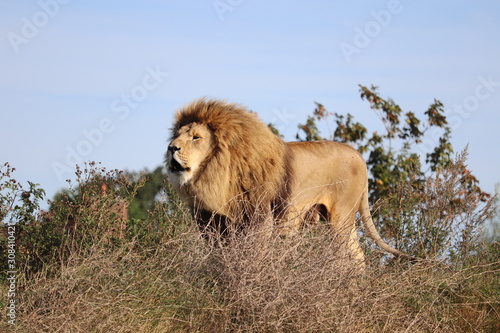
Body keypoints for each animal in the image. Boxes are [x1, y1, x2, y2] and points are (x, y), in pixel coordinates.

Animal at [166, 98, 408, 262]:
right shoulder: (212, 225)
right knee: (358, 256)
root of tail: (358, 155)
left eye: (196, 137)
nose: (171, 148)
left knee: (346, 256)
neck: (216, 175)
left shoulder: (259, 220)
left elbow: (254, 256)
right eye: (177, 135)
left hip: (340, 217)